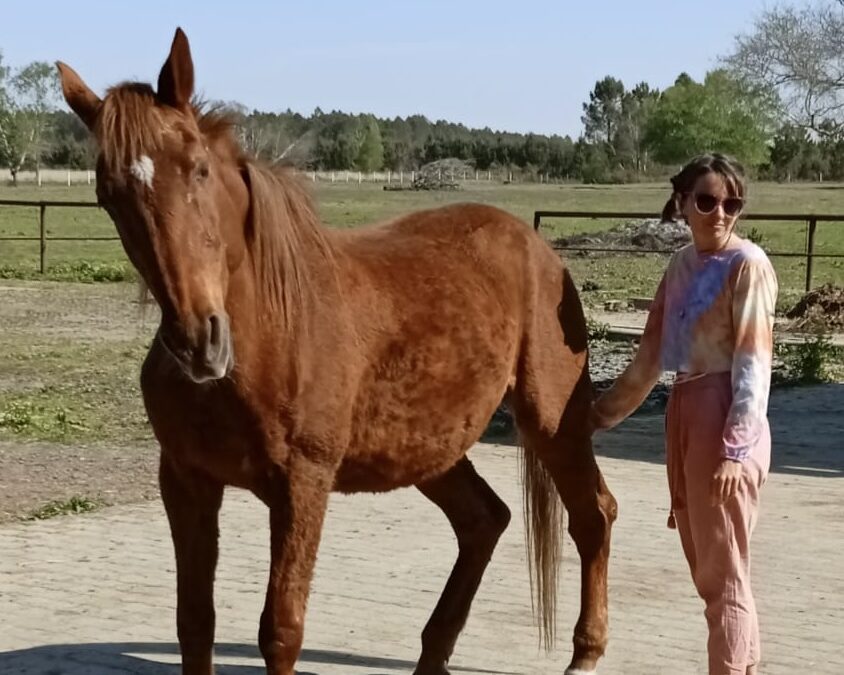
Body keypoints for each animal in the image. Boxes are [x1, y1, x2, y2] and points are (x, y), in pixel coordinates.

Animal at [57, 28, 617, 675]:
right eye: (108, 194)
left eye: (197, 169)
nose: (200, 341)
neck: (270, 334)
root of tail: (539, 249)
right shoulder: (186, 481)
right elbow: (194, 624)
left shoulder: (303, 484)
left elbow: (281, 631)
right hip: (430, 448)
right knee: (483, 521)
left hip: (552, 422)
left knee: (593, 516)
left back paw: (585, 654)